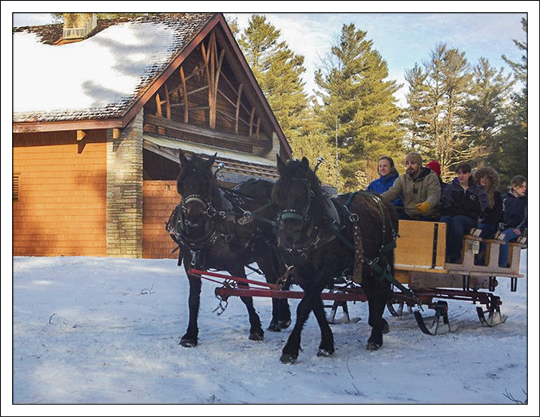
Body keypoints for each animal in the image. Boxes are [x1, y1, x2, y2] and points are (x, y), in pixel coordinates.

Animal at [171, 151, 294, 346]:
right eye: (182, 183)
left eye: (207, 183)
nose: (193, 217)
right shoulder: (191, 266)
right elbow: (193, 299)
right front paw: (190, 335)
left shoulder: (235, 264)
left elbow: (246, 294)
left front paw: (256, 329)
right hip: (263, 254)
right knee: (273, 281)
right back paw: (275, 321)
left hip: (276, 252)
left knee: (280, 281)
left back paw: (282, 318)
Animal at [272, 154, 398, 362]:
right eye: (278, 192)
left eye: (305, 193)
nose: (289, 233)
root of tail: (380, 200)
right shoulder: (302, 274)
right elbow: (316, 307)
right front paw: (327, 344)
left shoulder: (325, 271)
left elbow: (304, 307)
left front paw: (290, 348)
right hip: (364, 264)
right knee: (371, 291)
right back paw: (376, 323)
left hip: (382, 258)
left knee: (382, 290)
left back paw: (375, 337)